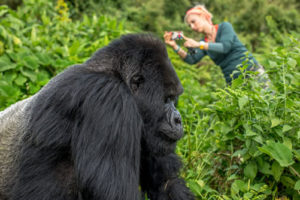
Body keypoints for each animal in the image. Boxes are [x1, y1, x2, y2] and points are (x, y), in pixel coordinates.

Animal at [0, 33, 195, 199]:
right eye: (166, 99)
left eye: (174, 99)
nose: (178, 120)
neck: (112, 72)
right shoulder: (110, 99)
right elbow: (115, 193)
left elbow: (165, 182)